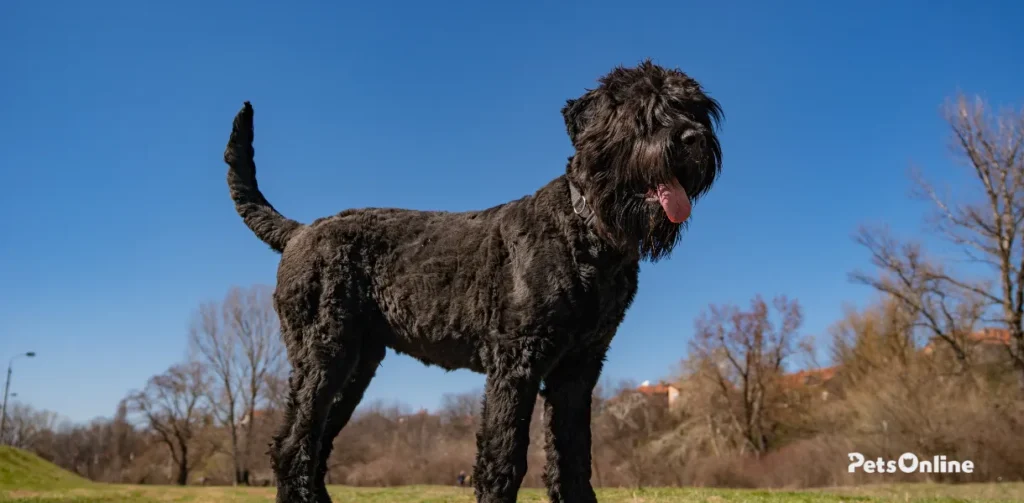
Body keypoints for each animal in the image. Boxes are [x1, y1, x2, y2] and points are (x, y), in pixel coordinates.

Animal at [224, 59, 720, 503]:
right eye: (643, 112)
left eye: (696, 108)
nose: (693, 138)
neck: (586, 230)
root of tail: (299, 231)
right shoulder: (516, 362)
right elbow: (504, 459)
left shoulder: (578, 370)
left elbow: (573, 459)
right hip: (324, 355)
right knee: (292, 446)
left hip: (356, 364)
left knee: (317, 444)